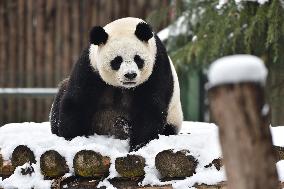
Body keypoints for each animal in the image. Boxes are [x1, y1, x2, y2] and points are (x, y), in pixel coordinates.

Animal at [50, 17, 184, 151]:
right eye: (117, 60)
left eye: (138, 59)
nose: (130, 75)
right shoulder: (90, 66)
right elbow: (79, 99)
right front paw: (72, 137)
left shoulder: (157, 68)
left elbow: (150, 106)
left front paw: (138, 145)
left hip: (173, 117)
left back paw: (124, 125)